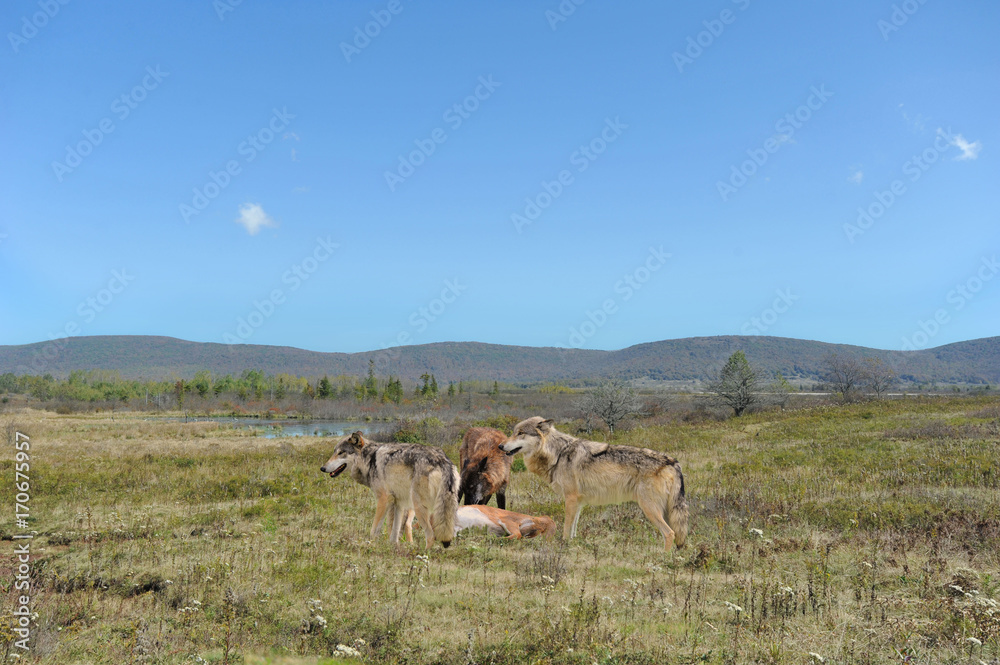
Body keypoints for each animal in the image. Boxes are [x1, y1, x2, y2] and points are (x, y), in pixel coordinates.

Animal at [320, 431, 459, 549]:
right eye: (334, 452)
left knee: (431, 536)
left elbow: (374, 529)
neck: (369, 460)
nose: (322, 468)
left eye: (341, 452)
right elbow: (394, 531)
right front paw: (393, 548)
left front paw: (371, 546)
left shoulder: (383, 499)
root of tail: (443, 461)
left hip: (419, 507)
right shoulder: (398, 503)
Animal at [500, 417, 688, 551]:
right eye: (514, 432)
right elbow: (574, 528)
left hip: (649, 508)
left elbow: (566, 528)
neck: (558, 454)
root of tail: (673, 462)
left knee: (670, 533)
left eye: (521, 433)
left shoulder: (570, 499)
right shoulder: (578, 502)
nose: (500, 446)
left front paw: (563, 546)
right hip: (664, 511)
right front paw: (572, 544)